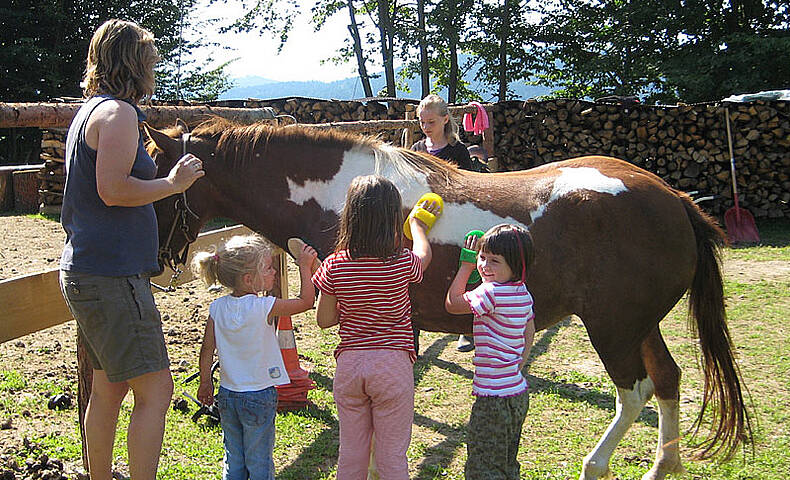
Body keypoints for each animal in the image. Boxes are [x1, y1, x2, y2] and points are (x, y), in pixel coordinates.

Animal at [144, 117, 756, 480]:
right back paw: (662, 465)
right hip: (638, 325)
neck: (345, 197)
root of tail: (675, 199)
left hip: (613, 328)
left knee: (635, 392)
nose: (156, 265)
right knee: (668, 380)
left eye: (160, 184)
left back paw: (597, 464)